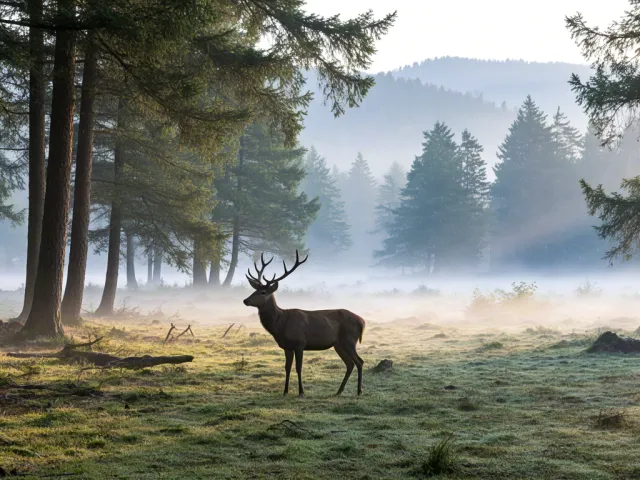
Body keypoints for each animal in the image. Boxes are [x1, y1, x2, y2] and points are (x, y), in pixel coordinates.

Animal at [243, 250, 365, 397]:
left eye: (263, 292)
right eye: (254, 290)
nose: (245, 300)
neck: (280, 324)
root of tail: (362, 321)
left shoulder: (300, 343)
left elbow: (298, 368)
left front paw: (301, 392)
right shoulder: (287, 347)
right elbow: (287, 368)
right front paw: (285, 391)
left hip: (349, 340)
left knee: (359, 361)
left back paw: (359, 391)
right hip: (339, 344)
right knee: (350, 364)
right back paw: (339, 391)